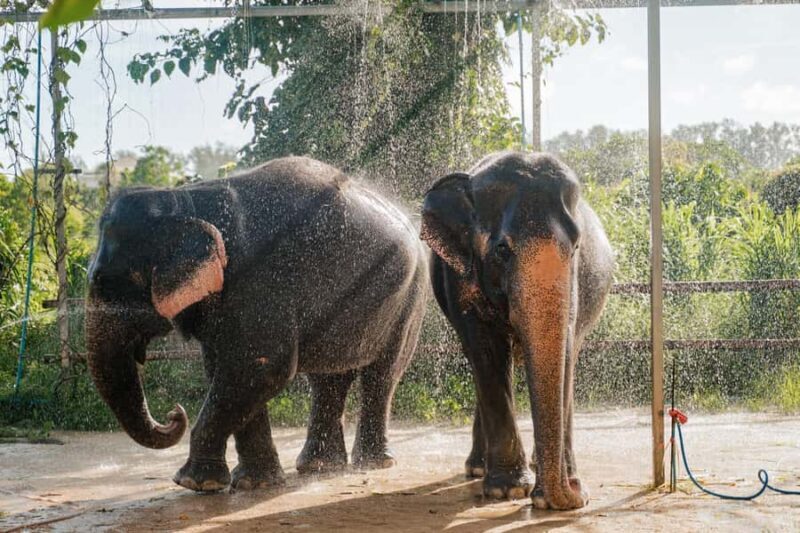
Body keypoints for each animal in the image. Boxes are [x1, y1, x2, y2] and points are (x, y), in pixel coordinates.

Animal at [86, 156, 429, 492]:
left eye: (107, 282)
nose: (174, 412)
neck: (185, 201)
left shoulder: (259, 281)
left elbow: (258, 368)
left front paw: (195, 483)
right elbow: (228, 370)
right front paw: (254, 482)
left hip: (411, 296)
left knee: (383, 374)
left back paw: (373, 464)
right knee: (329, 378)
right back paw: (318, 466)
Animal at [420, 151, 614, 510]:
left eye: (577, 247)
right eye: (501, 250)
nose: (578, 493)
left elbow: (565, 351)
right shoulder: (460, 277)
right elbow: (486, 354)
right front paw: (507, 491)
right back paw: (478, 468)